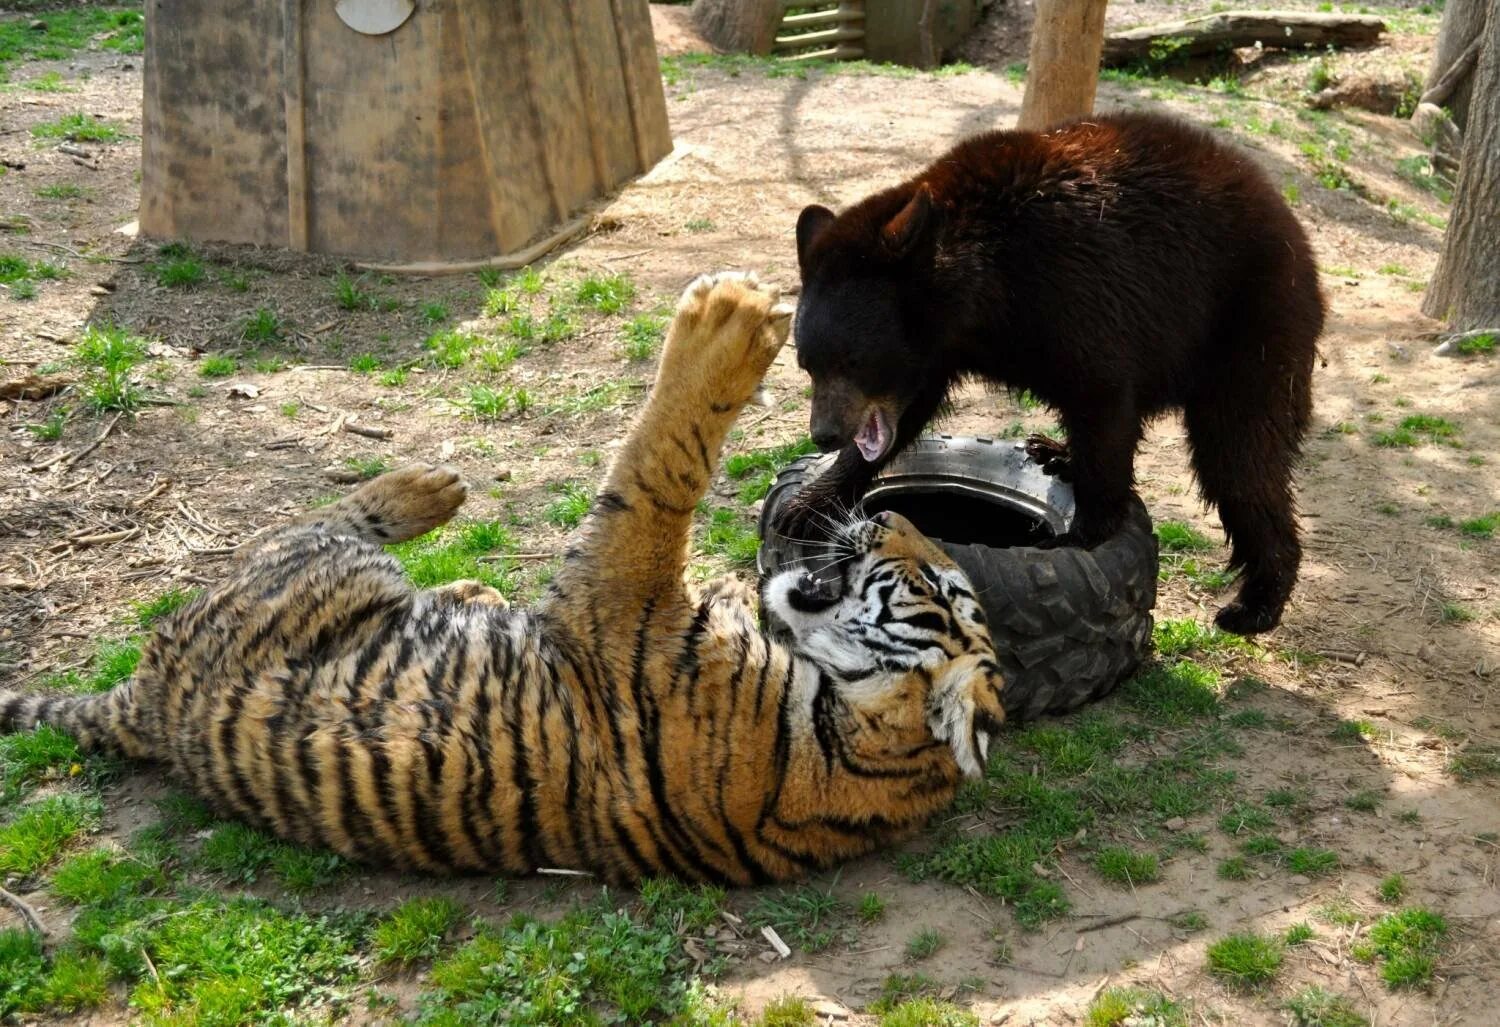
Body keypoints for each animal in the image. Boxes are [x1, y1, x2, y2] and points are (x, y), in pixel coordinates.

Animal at [2, 275, 1008, 887]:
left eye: (939, 584)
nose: (889, 515)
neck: (850, 745)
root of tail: (144, 701)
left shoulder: (618, 595)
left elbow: (661, 468)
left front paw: (728, 319)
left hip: (308, 573)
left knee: (316, 524)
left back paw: (429, 490)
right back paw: (463, 559)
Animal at [786, 107, 1326, 629]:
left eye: (855, 360)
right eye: (806, 363)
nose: (824, 434)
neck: (980, 291)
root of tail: (1293, 228)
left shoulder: (1074, 290)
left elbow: (1102, 396)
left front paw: (1081, 534)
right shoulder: (937, 351)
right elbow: (909, 414)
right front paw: (807, 503)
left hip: (1251, 328)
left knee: (1239, 457)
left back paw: (1257, 601)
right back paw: (1057, 452)